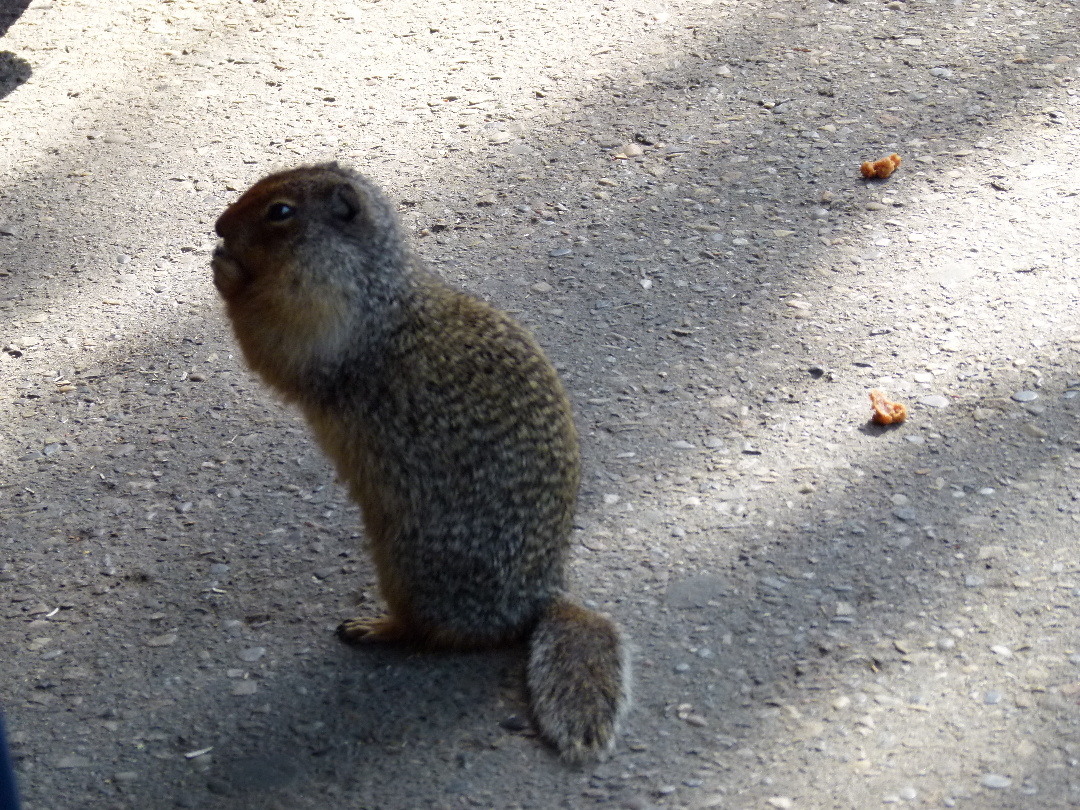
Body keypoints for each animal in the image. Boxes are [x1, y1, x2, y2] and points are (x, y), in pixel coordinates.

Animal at [209, 163, 630, 760]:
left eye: (280, 212)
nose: (218, 226)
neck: (374, 282)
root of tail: (539, 599)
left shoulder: (322, 311)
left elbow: (274, 342)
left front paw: (226, 271)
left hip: (410, 564)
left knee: (437, 633)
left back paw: (374, 628)